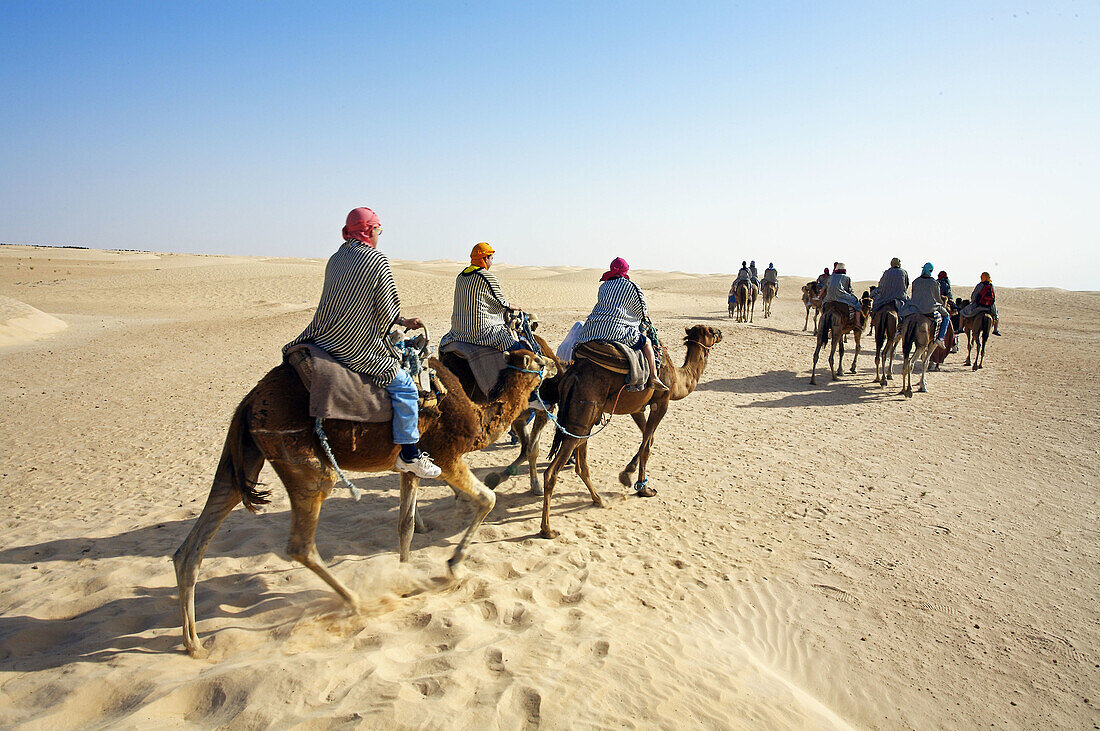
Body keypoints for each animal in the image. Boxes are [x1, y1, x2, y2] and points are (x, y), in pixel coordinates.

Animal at [174, 347, 554, 655]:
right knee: (300, 543)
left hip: (246, 455)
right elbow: (487, 499)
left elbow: (406, 525)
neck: (476, 414)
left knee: (198, 537)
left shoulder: (412, 465)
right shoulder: (447, 456)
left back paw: (193, 643)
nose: (555, 365)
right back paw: (360, 604)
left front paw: (406, 579)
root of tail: (250, 401)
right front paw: (452, 567)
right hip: (304, 463)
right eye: (537, 359)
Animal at [534, 323, 721, 536]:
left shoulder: (637, 408)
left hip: (585, 418)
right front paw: (642, 487)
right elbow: (647, 446)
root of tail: (571, 376)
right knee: (552, 471)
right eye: (711, 331)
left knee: (581, 462)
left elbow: (648, 439)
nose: (721, 333)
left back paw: (598, 499)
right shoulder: (661, 401)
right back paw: (547, 529)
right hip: (584, 412)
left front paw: (628, 475)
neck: (677, 379)